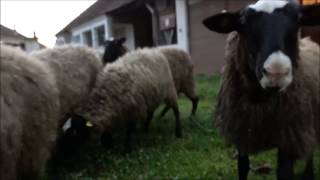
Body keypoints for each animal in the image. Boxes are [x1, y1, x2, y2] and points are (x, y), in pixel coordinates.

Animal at [204, 0, 318, 179]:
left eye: (299, 19)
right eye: (242, 22)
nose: (276, 72)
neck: (261, 100)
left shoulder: (288, 136)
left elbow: (284, 173)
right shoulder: (243, 133)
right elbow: (243, 167)